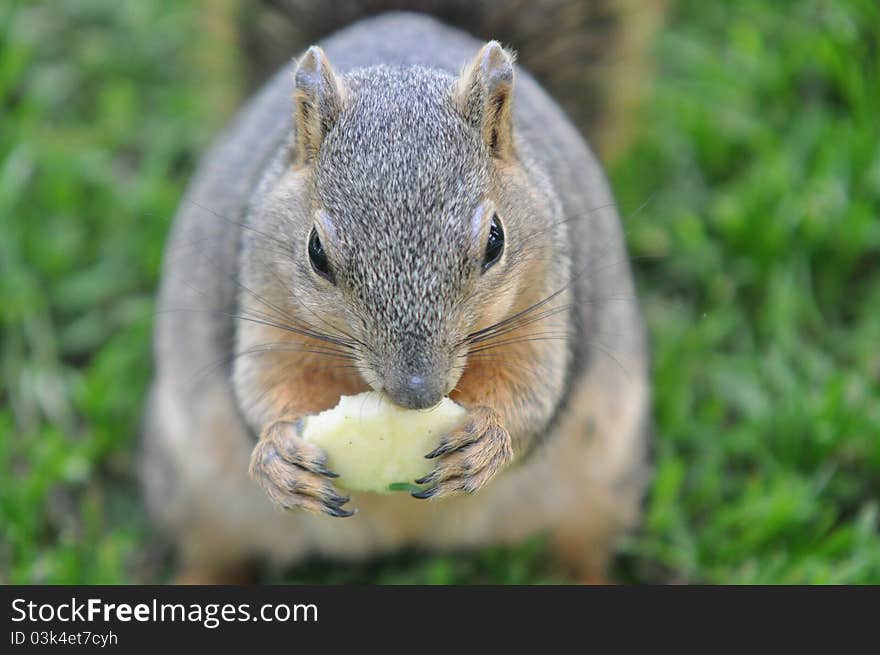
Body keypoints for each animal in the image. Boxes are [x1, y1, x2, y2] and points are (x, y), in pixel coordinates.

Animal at [143, 5, 652, 584]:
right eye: (316, 251)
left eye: (495, 240)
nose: (416, 392)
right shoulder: (264, 307)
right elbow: (264, 386)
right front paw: (278, 454)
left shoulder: (545, 309)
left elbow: (532, 392)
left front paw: (488, 439)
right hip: (194, 487)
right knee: (212, 550)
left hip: (602, 480)